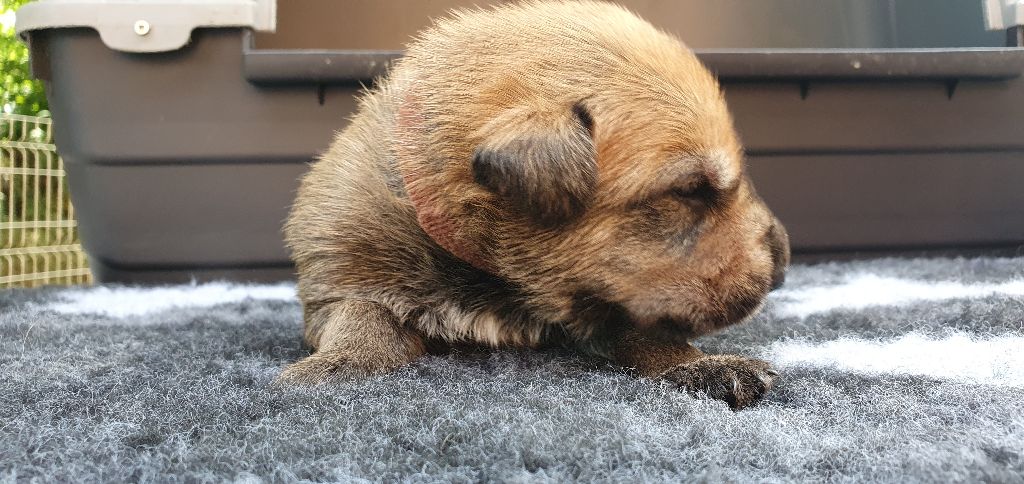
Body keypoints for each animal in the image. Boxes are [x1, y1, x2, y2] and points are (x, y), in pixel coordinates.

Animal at [280, 0, 790, 409]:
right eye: (688, 191)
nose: (783, 261)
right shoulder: (338, 276)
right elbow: (364, 315)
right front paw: (337, 364)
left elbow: (645, 330)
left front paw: (703, 365)